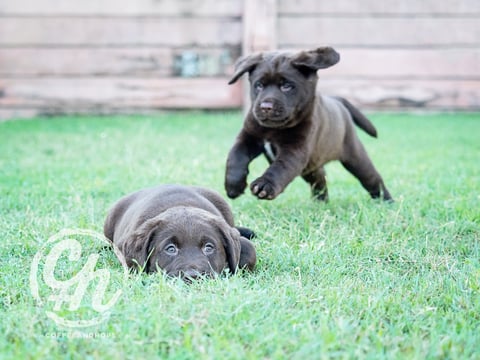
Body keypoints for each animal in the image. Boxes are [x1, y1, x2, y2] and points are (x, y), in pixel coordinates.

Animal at [223, 46, 392, 201]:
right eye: (259, 85)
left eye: (286, 86)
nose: (265, 107)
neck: (273, 129)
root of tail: (336, 100)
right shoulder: (248, 137)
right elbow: (235, 156)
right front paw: (233, 186)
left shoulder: (295, 149)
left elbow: (280, 167)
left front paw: (265, 185)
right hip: (311, 167)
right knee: (320, 180)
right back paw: (321, 202)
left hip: (355, 156)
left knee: (373, 179)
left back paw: (387, 201)